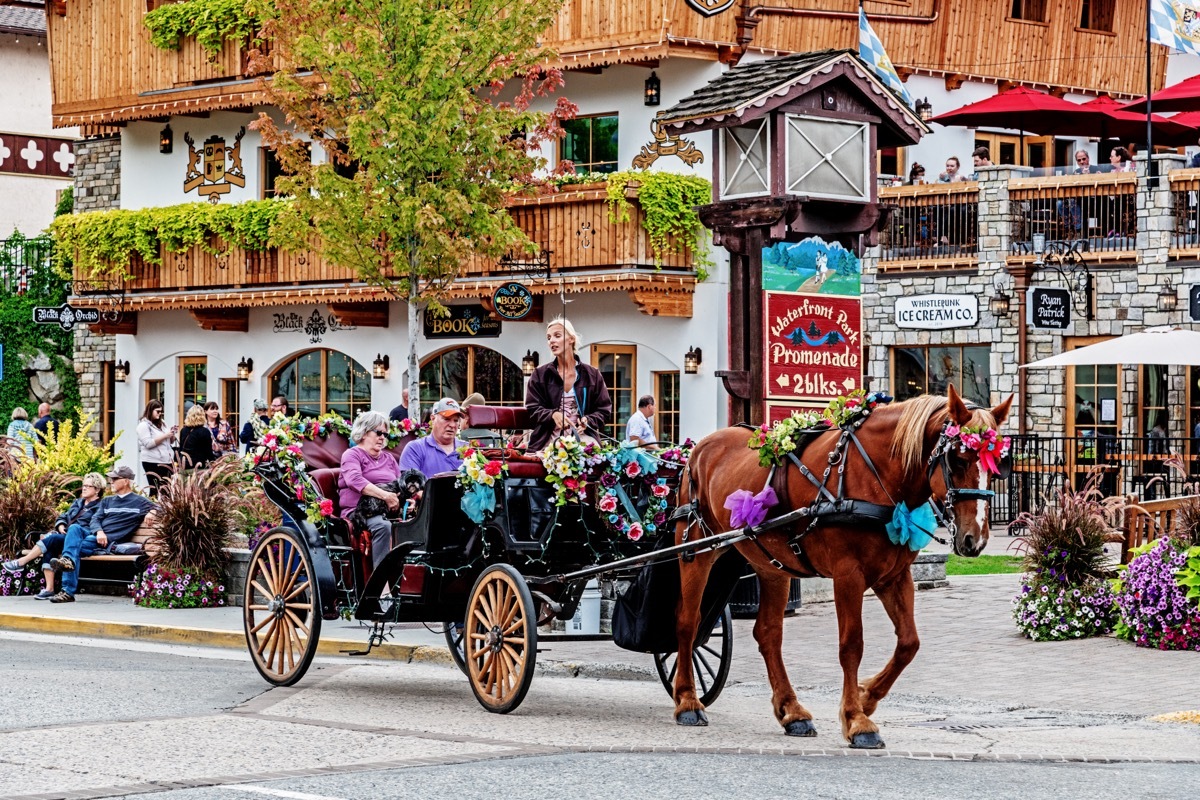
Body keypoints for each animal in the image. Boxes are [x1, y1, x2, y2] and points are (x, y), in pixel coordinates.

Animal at [672, 388, 1008, 753]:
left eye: (998, 466)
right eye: (958, 459)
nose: (975, 539)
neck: (876, 474)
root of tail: (699, 448)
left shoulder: (894, 576)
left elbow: (909, 643)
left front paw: (866, 697)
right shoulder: (848, 574)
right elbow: (851, 645)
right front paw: (856, 720)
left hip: (772, 565)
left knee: (768, 634)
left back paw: (792, 710)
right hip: (694, 551)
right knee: (688, 623)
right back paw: (687, 701)